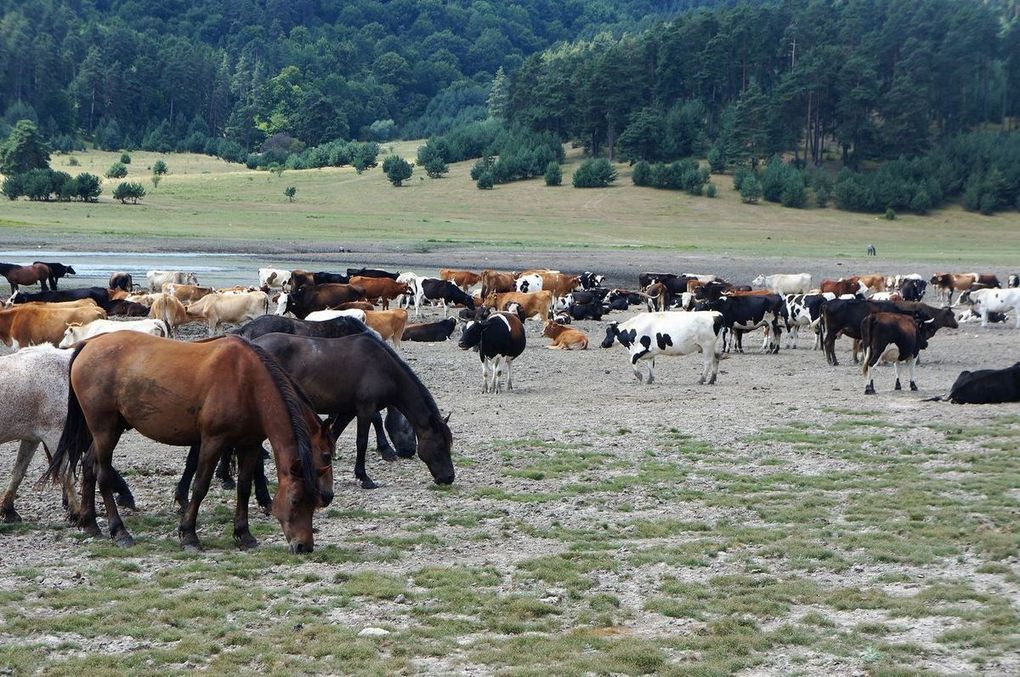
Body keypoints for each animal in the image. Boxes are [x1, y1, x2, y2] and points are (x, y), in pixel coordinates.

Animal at [49, 332, 336, 554]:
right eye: (296, 501)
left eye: (313, 503)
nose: (304, 546)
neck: (248, 381)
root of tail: (89, 343)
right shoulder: (213, 441)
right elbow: (200, 487)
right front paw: (189, 535)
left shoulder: (250, 443)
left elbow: (244, 487)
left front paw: (244, 534)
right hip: (105, 430)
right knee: (103, 473)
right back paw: (119, 531)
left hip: (109, 429)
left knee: (89, 466)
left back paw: (90, 524)